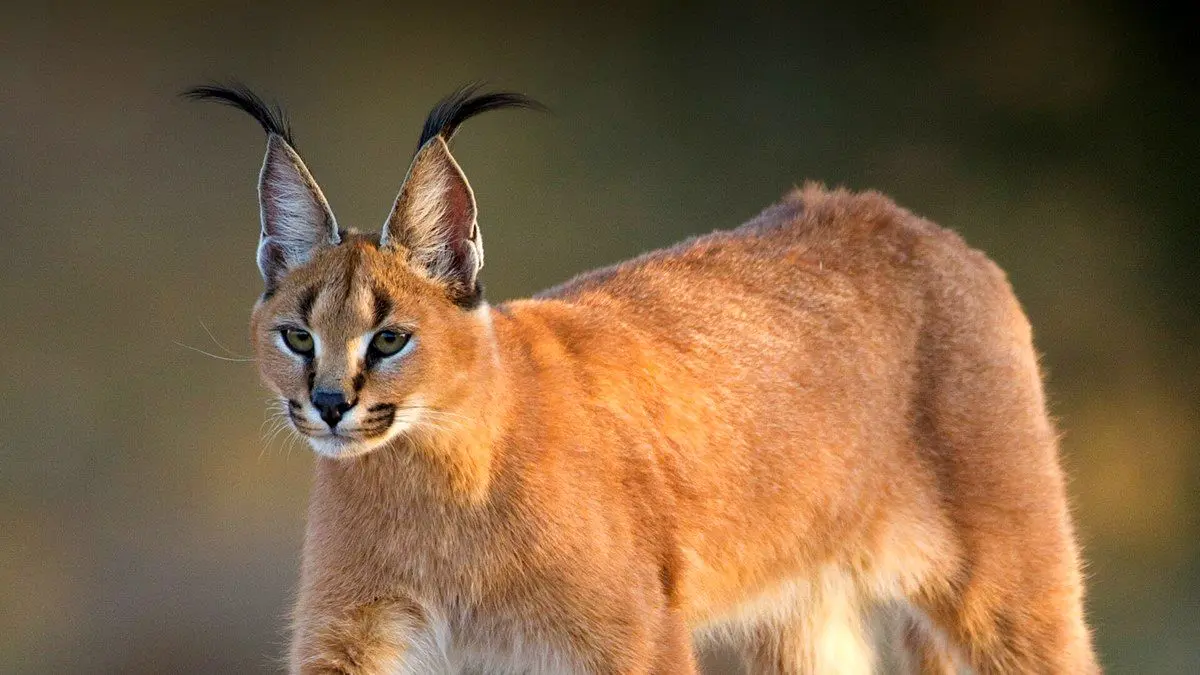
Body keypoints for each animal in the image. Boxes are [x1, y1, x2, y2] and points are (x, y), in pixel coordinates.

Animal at [184, 85, 1099, 672]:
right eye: (297, 335)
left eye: (390, 338)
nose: (330, 404)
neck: (431, 476)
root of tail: (902, 217)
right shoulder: (355, 634)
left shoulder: (633, 636)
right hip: (803, 614)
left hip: (1009, 589)